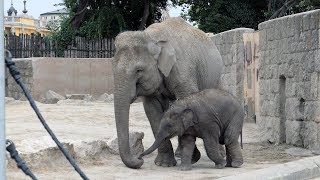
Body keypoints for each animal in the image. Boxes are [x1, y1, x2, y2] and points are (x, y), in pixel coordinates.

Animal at [112, 16, 222, 169]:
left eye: (139, 70)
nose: (139, 159)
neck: (151, 37)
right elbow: (152, 110)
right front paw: (164, 164)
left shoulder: (182, 70)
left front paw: (193, 158)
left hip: (216, 76)